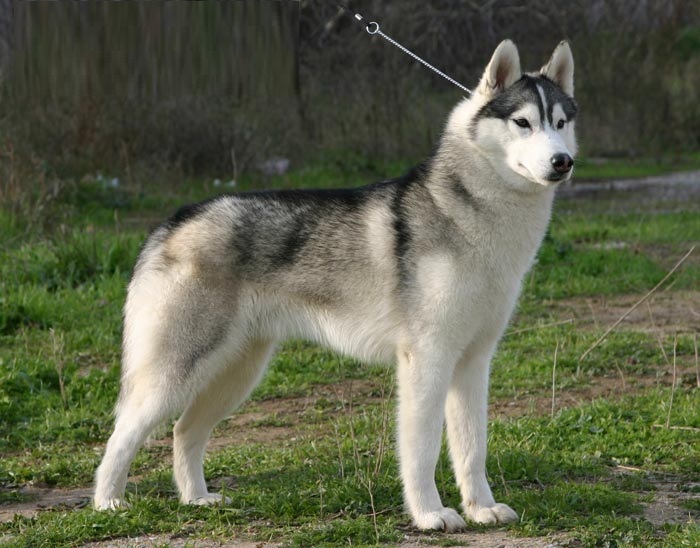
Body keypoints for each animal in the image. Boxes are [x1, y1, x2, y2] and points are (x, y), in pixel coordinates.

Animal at [93, 41, 576, 532]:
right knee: (122, 434)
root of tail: (172, 222)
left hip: (238, 372)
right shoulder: (427, 360)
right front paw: (429, 513)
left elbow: (472, 448)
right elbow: (421, 451)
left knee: (183, 430)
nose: (563, 162)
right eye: (522, 123)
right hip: (176, 373)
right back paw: (108, 502)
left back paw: (197, 499)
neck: (475, 217)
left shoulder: (474, 362)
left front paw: (481, 508)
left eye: (560, 123)